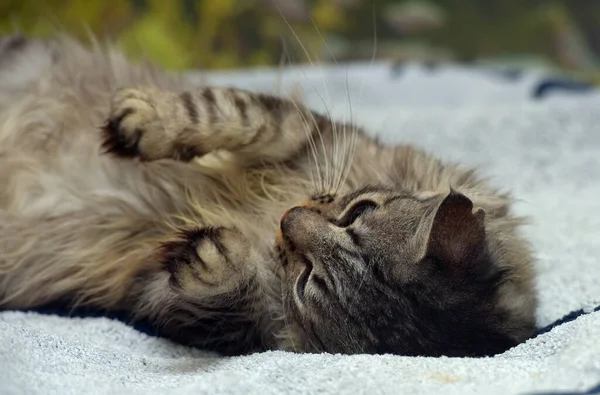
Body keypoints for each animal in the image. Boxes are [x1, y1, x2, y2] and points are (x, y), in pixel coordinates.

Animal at [0, 33, 536, 356]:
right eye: (357, 212)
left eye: (307, 280)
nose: (288, 217)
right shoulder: (305, 134)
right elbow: (225, 111)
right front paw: (145, 121)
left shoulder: (180, 307)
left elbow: (220, 294)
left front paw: (216, 260)